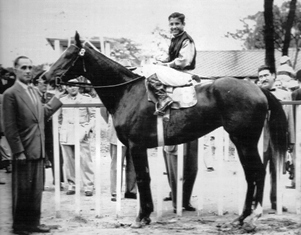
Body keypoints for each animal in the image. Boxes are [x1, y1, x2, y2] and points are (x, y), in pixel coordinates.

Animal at [44, 31, 286, 231]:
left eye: (68, 55)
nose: (44, 77)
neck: (127, 91)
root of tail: (258, 88)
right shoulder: (140, 147)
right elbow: (147, 177)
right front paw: (147, 215)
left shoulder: (136, 146)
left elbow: (142, 179)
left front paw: (141, 218)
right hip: (242, 141)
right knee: (252, 173)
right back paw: (242, 218)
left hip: (244, 140)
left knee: (257, 172)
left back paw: (252, 217)